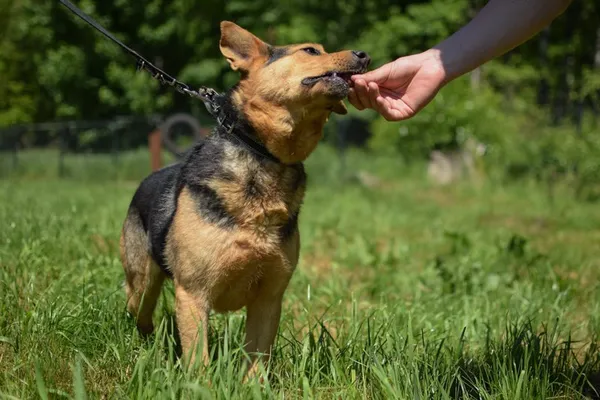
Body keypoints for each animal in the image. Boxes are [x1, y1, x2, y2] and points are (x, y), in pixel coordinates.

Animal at [119, 21, 368, 378]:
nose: (364, 54)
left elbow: (257, 357)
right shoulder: (192, 293)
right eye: (310, 50)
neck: (265, 156)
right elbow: (198, 360)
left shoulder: (270, 297)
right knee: (137, 310)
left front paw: (252, 384)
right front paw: (200, 386)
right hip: (143, 283)